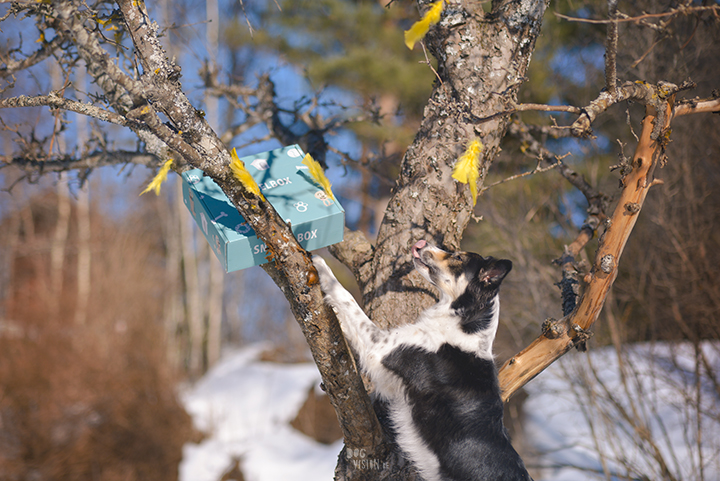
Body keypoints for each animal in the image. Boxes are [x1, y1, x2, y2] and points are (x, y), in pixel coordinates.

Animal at [312, 240, 532, 480]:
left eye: (458, 257)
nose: (421, 243)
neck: (464, 323)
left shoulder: (381, 347)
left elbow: (347, 299)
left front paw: (319, 264)